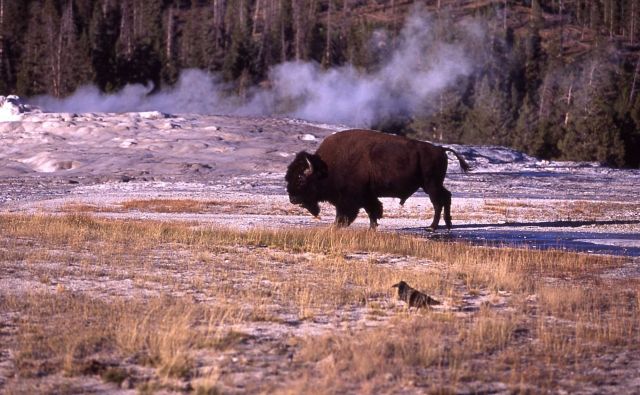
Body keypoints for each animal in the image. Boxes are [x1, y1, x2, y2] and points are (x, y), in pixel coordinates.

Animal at [284, 130, 470, 230]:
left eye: (301, 179)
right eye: (288, 177)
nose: (293, 198)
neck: (325, 167)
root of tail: (440, 148)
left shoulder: (351, 198)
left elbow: (348, 214)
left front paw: (336, 226)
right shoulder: (367, 195)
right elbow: (372, 210)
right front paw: (372, 228)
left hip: (431, 185)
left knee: (438, 202)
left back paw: (432, 227)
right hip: (432, 185)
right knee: (446, 197)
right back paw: (447, 224)